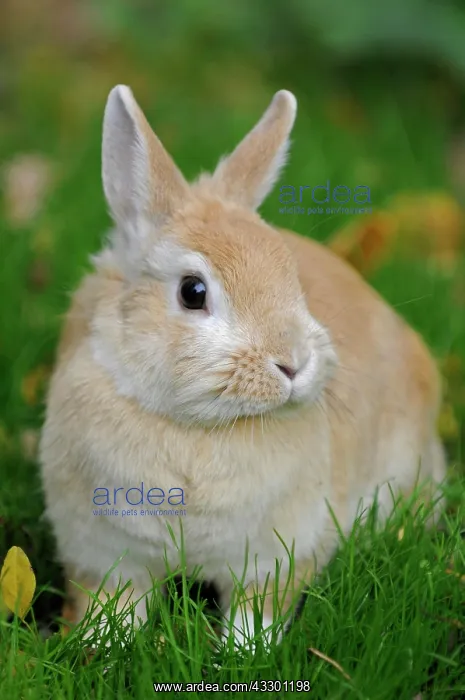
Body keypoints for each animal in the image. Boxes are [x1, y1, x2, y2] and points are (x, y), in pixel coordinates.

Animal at [39, 85, 446, 650]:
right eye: (193, 291)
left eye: (292, 275)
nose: (293, 363)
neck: (196, 429)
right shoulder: (104, 551)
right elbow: (114, 601)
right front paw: (101, 645)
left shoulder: (277, 556)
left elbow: (257, 613)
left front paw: (242, 655)